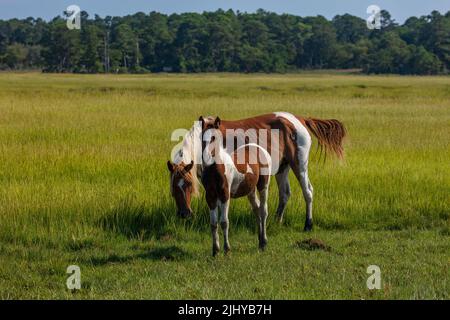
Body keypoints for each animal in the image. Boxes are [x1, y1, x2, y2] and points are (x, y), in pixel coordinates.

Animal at [167, 112, 346, 230]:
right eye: (173, 188)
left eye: (189, 185)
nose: (184, 214)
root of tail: (300, 119)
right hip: (282, 167)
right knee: (285, 193)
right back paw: (276, 221)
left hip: (299, 164)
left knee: (308, 191)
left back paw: (308, 224)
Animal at [202, 125, 272, 255]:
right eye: (201, 136)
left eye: (214, 137)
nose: (206, 157)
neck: (216, 168)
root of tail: (261, 149)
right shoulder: (210, 196)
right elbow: (213, 224)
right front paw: (215, 250)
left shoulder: (225, 195)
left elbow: (224, 222)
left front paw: (227, 249)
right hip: (250, 190)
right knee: (257, 209)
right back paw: (260, 241)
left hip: (263, 186)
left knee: (263, 210)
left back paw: (264, 242)